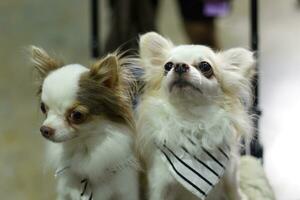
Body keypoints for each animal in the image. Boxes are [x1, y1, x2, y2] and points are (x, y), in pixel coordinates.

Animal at [31, 46, 139, 200]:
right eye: (43, 107)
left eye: (77, 115)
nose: (45, 129)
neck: (82, 149)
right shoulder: (64, 193)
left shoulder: (126, 192)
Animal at [137, 32, 255, 200]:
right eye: (168, 66)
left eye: (205, 66)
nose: (180, 65)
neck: (191, 119)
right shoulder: (159, 183)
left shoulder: (231, 174)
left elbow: (235, 192)